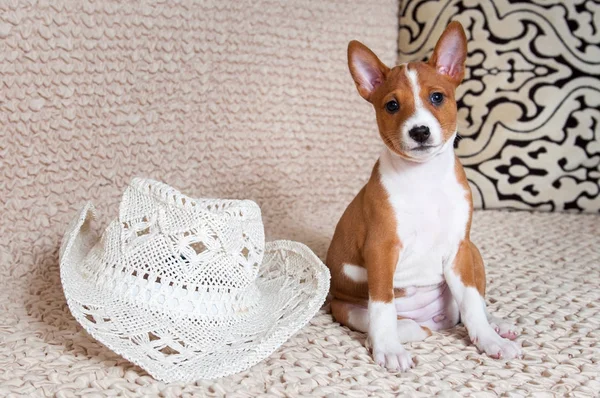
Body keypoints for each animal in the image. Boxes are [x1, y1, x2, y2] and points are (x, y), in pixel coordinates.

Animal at [328, 21, 520, 370]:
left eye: (437, 97)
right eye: (392, 105)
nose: (419, 131)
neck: (424, 179)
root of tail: (436, 320)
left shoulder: (458, 249)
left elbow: (472, 303)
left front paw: (489, 340)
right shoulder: (381, 250)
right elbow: (383, 307)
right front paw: (387, 348)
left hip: (474, 253)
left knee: (473, 305)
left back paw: (497, 325)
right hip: (344, 308)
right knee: (400, 322)